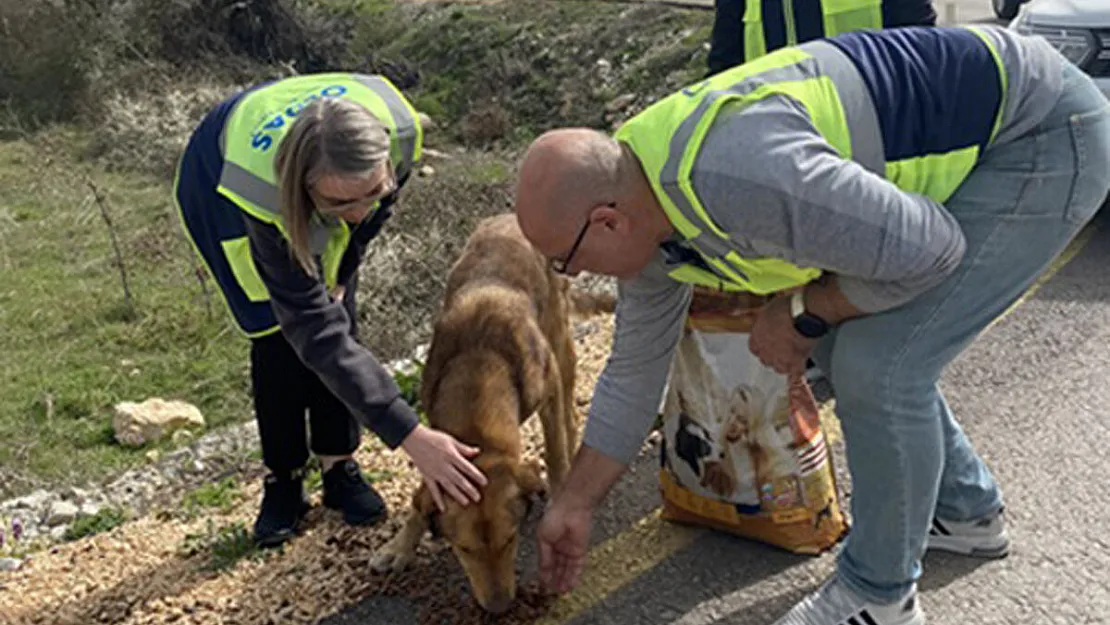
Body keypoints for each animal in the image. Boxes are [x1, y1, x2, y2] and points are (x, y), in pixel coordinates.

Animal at [368, 213, 612, 612]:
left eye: (510, 540)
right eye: (463, 550)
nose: (499, 607)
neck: (478, 367)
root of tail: (509, 215)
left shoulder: (548, 389)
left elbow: (554, 450)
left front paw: (560, 492)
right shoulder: (437, 446)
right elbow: (420, 499)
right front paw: (400, 546)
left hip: (560, 343)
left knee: (569, 418)